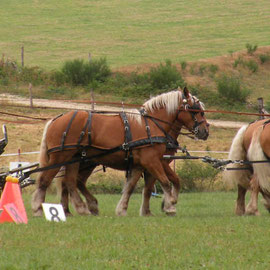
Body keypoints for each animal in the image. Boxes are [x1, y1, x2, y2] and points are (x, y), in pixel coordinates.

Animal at [31, 87, 209, 216]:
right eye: (195, 109)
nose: (205, 131)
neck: (152, 125)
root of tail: (55, 119)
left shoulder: (142, 164)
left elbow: (135, 187)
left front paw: (126, 209)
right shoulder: (152, 161)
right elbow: (164, 181)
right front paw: (170, 205)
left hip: (75, 159)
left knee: (70, 182)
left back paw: (81, 208)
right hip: (60, 157)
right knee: (45, 180)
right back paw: (40, 208)